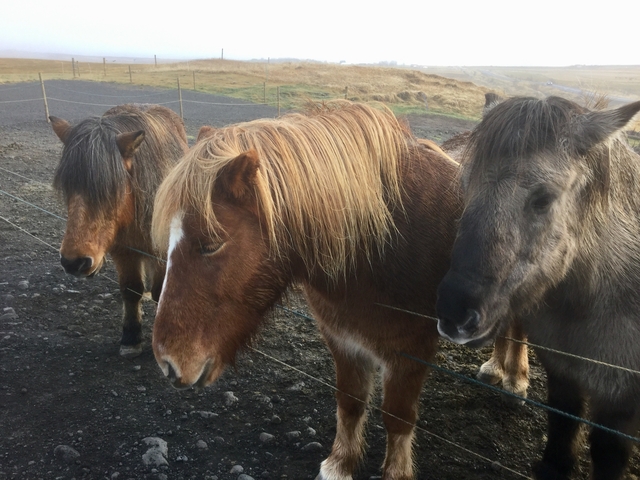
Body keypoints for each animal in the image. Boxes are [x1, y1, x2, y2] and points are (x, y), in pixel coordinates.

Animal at [50, 104, 189, 357]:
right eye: (67, 186)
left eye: (112, 189)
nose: (74, 262)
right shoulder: (123, 251)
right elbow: (130, 289)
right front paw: (131, 336)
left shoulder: (161, 251)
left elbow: (159, 291)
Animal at [151, 101, 462, 479]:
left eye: (210, 245)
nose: (167, 363)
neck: (381, 245)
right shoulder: (343, 338)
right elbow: (350, 401)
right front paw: (340, 464)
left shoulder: (410, 354)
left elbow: (398, 417)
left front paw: (394, 473)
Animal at [436, 96, 640, 480]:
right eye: (465, 186)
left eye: (544, 199)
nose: (454, 313)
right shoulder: (563, 373)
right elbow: (562, 424)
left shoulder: (621, 402)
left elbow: (607, 451)